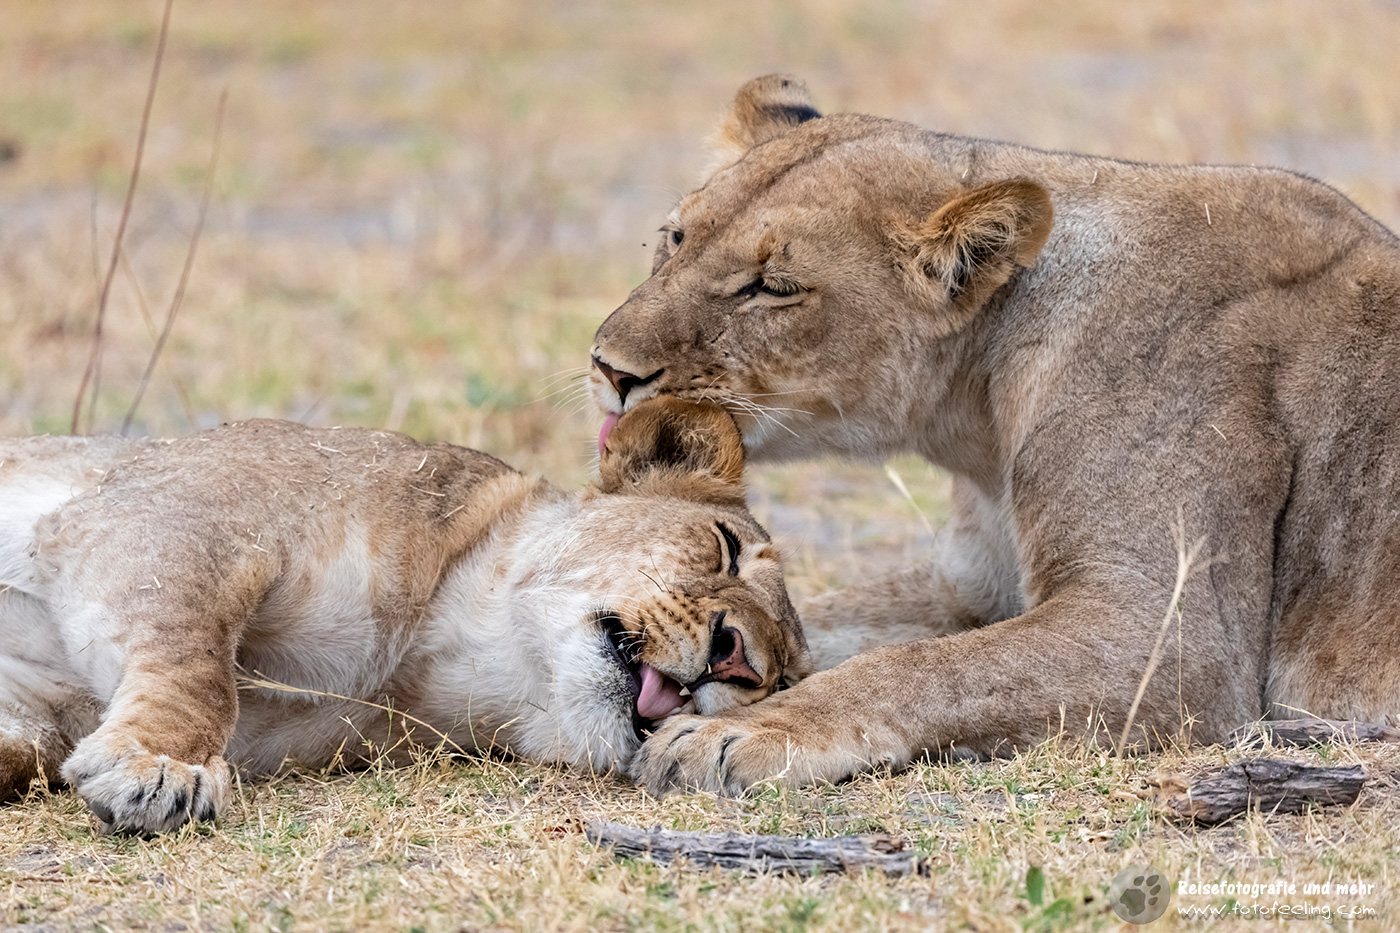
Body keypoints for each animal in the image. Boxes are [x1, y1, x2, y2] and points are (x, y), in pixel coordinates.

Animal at [0, 397, 809, 832]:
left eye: (784, 682)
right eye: (726, 546)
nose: (739, 658)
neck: (430, 656)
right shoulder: (178, 512)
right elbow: (199, 664)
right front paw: (162, 767)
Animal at [588, 75, 1400, 794]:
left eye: (772, 288)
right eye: (675, 237)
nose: (608, 366)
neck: (977, 427)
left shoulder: (1173, 637)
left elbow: (923, 668)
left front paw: (736, 731)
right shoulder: (973, 585)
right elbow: (824, 620)